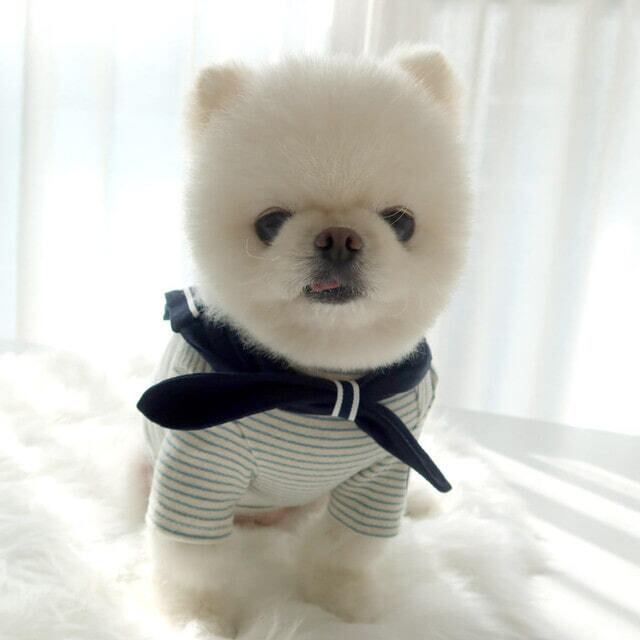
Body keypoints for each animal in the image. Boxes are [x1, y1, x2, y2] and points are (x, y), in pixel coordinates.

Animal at [138, 47, 469, 634]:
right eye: (270, 223)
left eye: (400, 221)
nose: (339, 237)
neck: (318, 383)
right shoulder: (200, 466)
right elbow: (194, 563)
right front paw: (197, 619)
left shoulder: (382, 469)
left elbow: (345, 549)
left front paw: (342, 605)